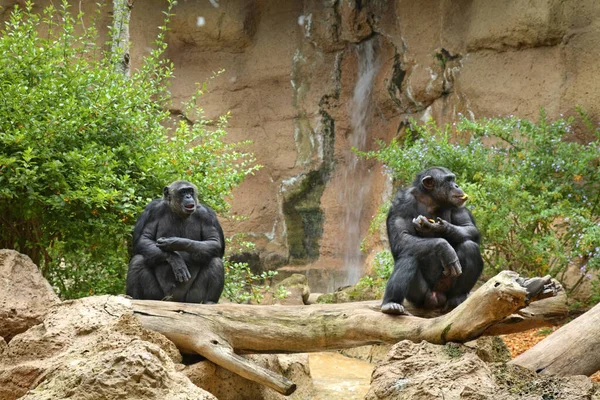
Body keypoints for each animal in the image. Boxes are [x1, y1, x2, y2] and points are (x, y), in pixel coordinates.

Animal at [382, 166, 486, 316]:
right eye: (448, 180)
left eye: (453, 179)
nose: (457, 185)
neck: (430, 200)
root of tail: (436, 298)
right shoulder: (401, 203)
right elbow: (402, 237)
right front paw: (444, 248)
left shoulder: (458, 203)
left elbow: (470, 228)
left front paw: (440, 227)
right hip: (419, 297)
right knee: (409, 255)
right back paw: (391, 304)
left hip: (445, 287)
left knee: (469, 247)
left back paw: (457, 297)